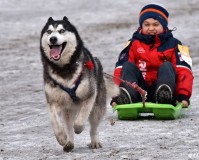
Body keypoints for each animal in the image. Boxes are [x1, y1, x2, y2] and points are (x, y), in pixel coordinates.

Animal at [39, 16, 119, 152]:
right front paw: (61, 137)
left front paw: (78, 128)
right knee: (68, 126)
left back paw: (94, 141)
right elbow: (55, 121)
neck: (64, 69)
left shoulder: (89, 96)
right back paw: (69, 142)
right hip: (68, 110)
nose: (53, 39)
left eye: (62, 31)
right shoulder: (53, 101)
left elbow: (81, 120)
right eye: (49, 32)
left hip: (97, 108)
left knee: (93, 126)